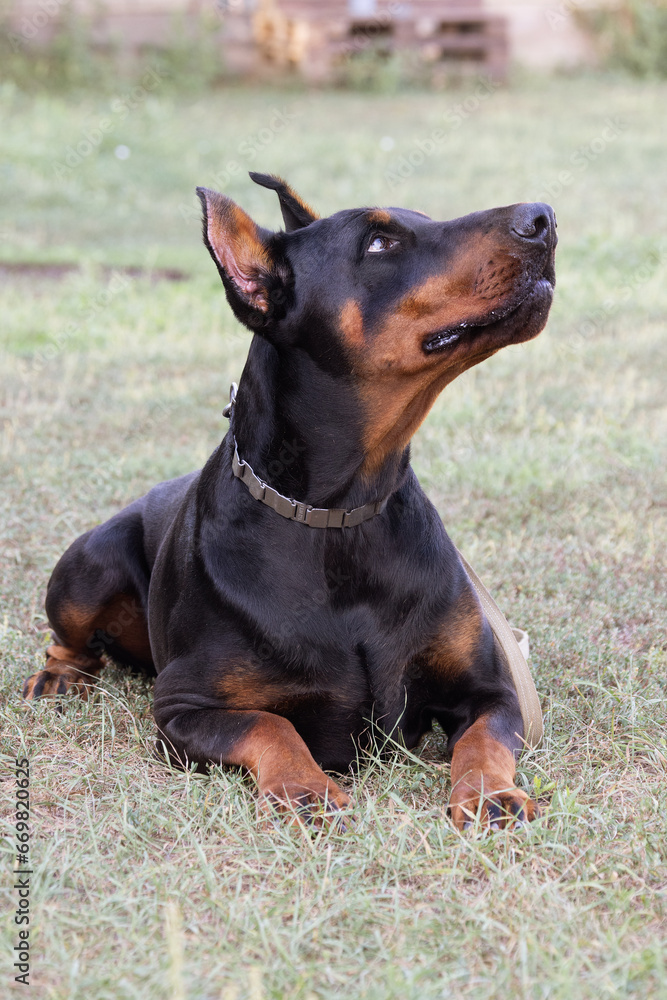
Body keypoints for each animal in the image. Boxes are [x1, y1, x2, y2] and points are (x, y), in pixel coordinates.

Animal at [22, 176, 560, 832]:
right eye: (379, 242)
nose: (543, 217)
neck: (340, 517)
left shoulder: (491, 691)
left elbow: (483, 738)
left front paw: (488, 794)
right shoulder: (183, 706)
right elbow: (270, 724)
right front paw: (306, 788)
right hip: (87, 569)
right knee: (72, 639)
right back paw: (56, 677)